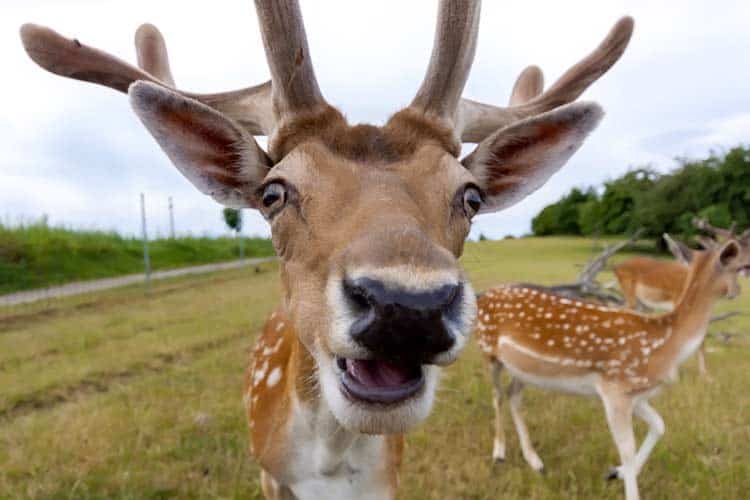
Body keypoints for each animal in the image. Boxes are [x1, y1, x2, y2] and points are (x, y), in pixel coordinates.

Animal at [20, 1, 636, 498]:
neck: (330, 468)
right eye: (273, 192)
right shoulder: (269, 474)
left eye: (470, 195)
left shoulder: (389, 479)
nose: (407, 306)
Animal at [612, 219, 748, 376]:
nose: (737, 290)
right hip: (631, 296)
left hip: (643, 304)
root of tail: (616, 267)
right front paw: (702, 374)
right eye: (736, 267)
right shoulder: (677, 301)